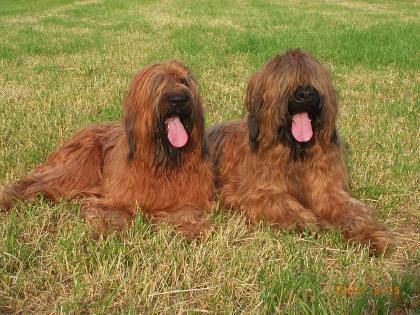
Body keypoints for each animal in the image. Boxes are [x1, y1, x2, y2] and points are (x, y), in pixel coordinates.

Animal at [0, 59, 213, 239]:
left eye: (184, 81)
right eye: (159, 83)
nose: (179, 99)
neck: (162, 161)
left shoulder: (191, 198)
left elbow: (187, 212)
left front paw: (189, 229)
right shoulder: (115, 196)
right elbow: (115, 211)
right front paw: (107, 229)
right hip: (80, 166)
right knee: (33, 183)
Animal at [208, 50, 396, 256]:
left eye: (313, 79)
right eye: (287, 81)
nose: (306, 95)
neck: (296, 151)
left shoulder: (327, 188)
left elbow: (350, 210)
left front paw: (371, 236)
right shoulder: (255, 192)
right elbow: (280, 203)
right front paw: (306, 221)